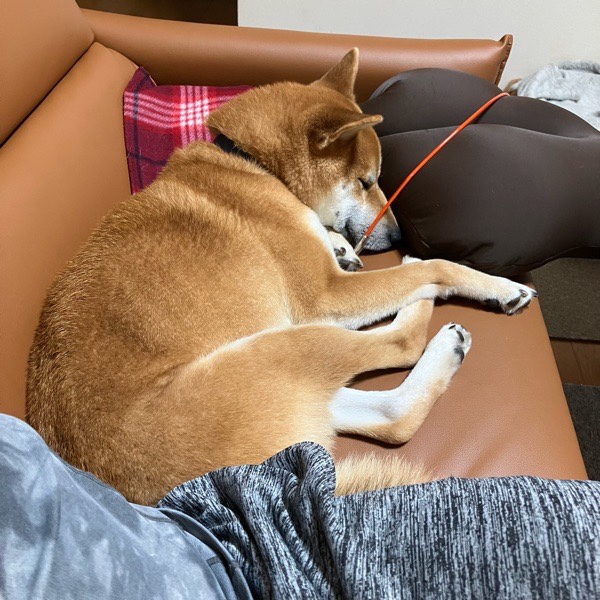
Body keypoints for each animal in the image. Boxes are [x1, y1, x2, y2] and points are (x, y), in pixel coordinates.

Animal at [26, 49, 537, 505]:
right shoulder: (326, 295)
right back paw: (424, 296)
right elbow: (440, 266)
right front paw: (498, 286)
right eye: (367, 181)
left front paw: (340, 245)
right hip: (282, 347)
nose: (395, 236)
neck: (253, 164)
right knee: (401, 343)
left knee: (392, 418)